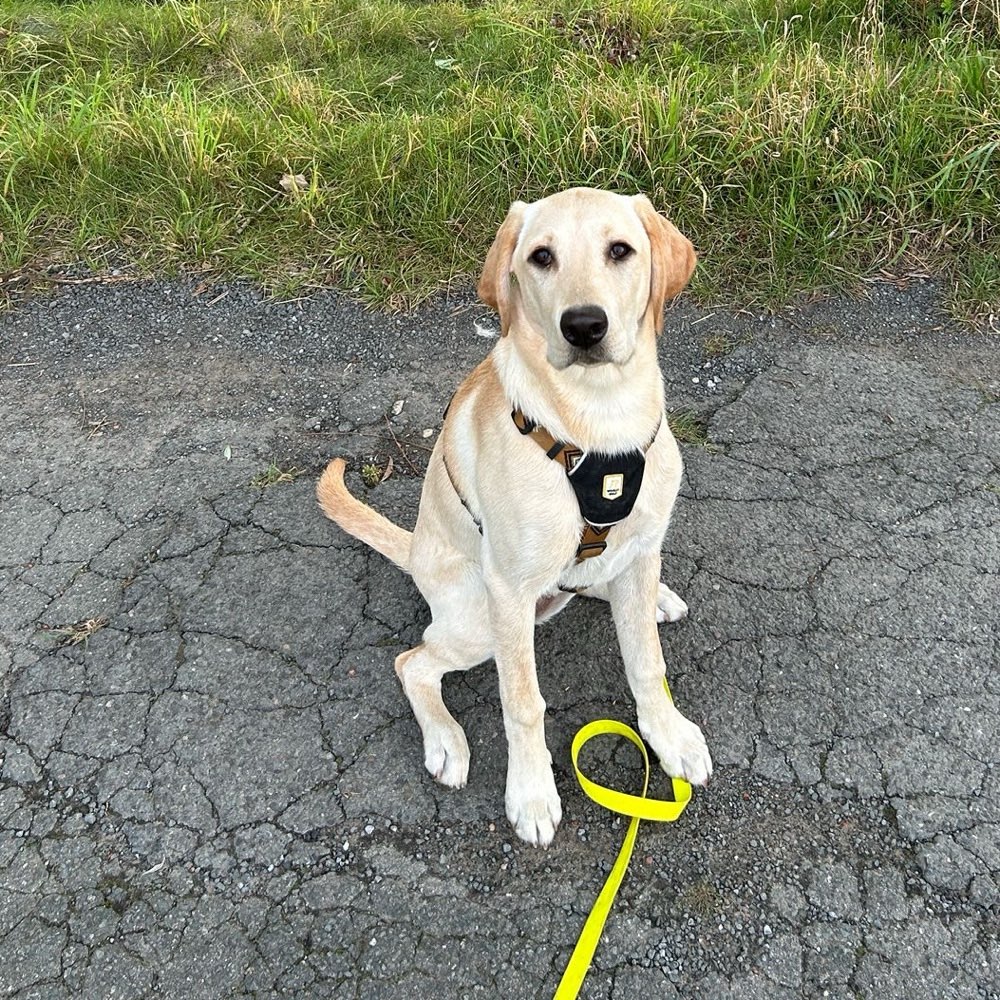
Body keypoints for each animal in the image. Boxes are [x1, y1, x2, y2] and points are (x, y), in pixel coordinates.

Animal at [318, 186, 712, 844]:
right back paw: (445, 739)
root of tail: (415, 549)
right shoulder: (509, 588)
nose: (584, 326)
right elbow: (523, 702)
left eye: (620, 250)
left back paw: (649, 597)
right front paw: (531, 792)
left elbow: (646, 661)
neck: (598, 418)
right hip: (480, 618)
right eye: (541, 257)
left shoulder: (642, 546)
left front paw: (668, 733)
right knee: (413, 661)